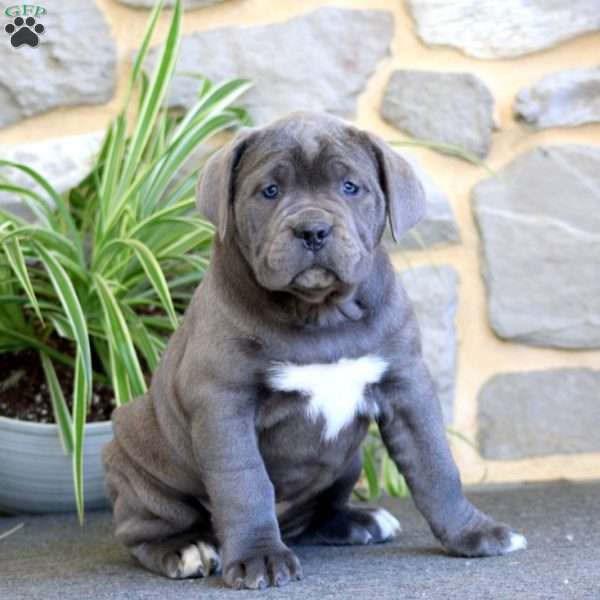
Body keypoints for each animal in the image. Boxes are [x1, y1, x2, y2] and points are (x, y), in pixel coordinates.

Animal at [102, 111, 524, 592]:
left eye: (350, 187)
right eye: (269, 191)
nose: (313, 229)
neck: (321, 313)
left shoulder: (406, 387)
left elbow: (436, 465)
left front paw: (473, 533)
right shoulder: (223, 403)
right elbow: (244, 482)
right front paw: (259, 558)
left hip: (347, 460)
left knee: (317, 514)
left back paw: (357, 521)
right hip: (135, 455)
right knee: (142, 529)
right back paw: (185, 548)